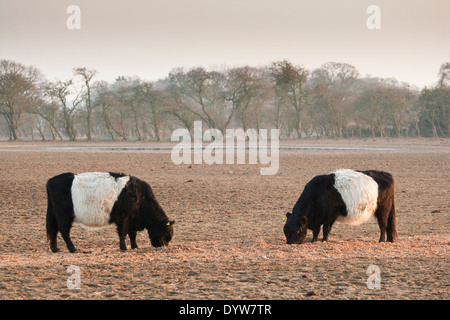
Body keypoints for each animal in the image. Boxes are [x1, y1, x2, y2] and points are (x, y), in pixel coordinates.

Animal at [45, 172, 175, 252]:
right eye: (167, 234)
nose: (163, 246)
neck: (140, 197)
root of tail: (51, 181)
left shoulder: (132, 219)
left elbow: (132, 234)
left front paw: (135, 246)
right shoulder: (124, 217)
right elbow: (123, 232)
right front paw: (123, 247)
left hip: (54, 214)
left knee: (53, 230)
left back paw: (55, 249)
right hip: (64, 215)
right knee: (63, 231)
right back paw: (73, 249)